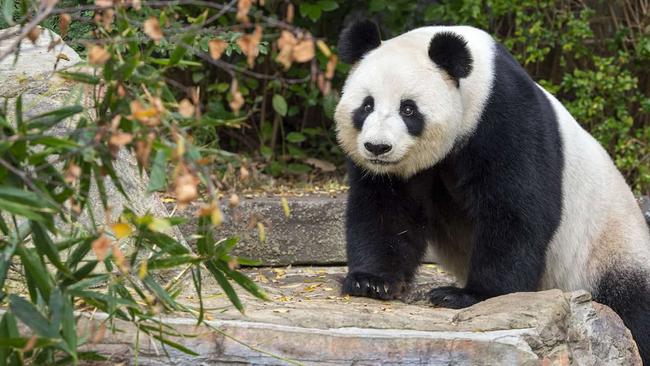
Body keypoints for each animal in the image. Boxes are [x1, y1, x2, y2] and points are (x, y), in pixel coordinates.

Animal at [334, 18, 648, 362]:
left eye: (408, 109)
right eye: (366, 106)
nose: (378, 147)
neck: (475, 81)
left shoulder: (504, 114)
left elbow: (516, 209)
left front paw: (467, 295)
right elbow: (388, 209)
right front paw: (372, 282)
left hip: (609, 251)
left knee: (632, 306)